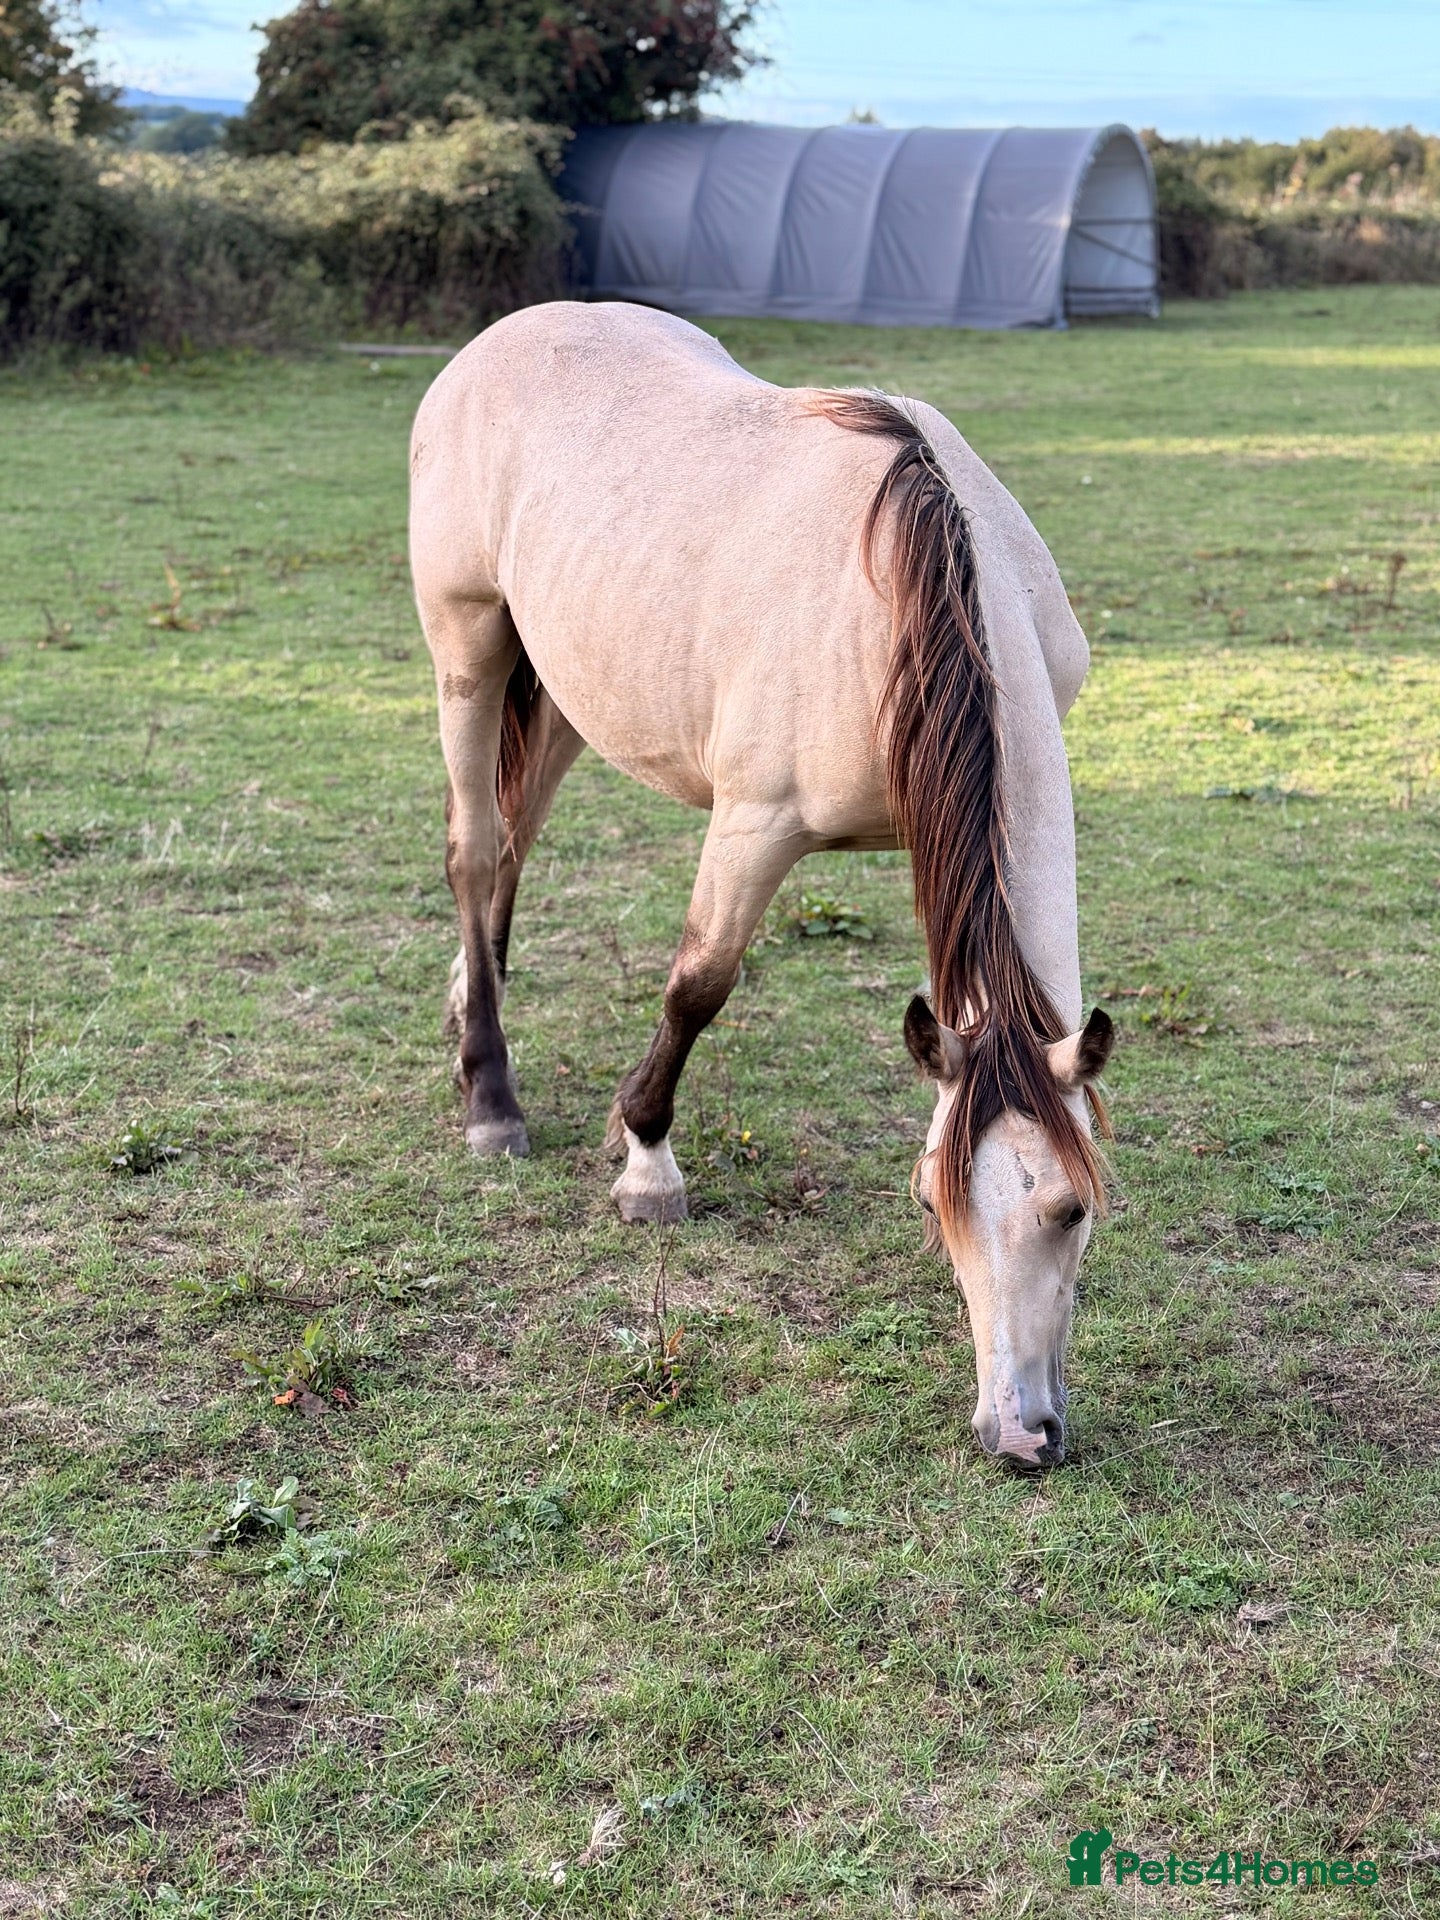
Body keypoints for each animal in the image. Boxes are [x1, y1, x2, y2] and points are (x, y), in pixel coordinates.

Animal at [409, 301, 1114, 1470]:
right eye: (931, 1203)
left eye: (1074, 1208)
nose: (1021, 1433)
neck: (914, 589)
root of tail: (499, 339)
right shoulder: (755, 824)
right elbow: (699, 984)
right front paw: (646, 1164)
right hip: (468, 647)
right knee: (474, 848)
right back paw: (492, 1098)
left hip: (560, 685)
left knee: (510, 848)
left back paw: (475, 1006)